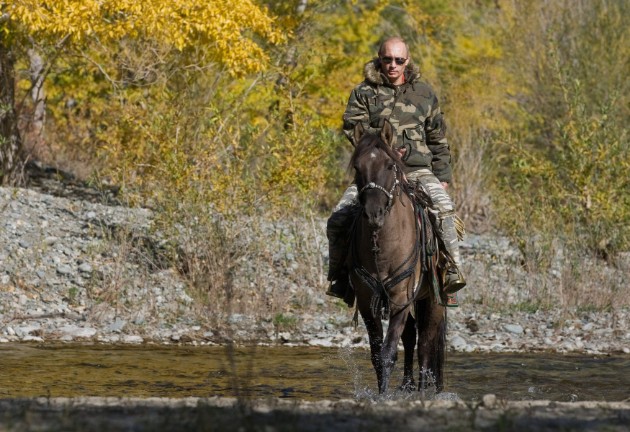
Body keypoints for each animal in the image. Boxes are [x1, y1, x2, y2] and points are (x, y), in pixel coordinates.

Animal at [350, 120, 450, 394]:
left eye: (389, 165)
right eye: (357, 166)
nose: (374, 213)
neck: (383, 247)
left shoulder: (401, 298)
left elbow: (388, 352)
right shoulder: (367, 302)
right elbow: (377, 354)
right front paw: (382, 393)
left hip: (434, 300)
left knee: (426, 342)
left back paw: (424, 390)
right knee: (412, 334)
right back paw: (407, 386)